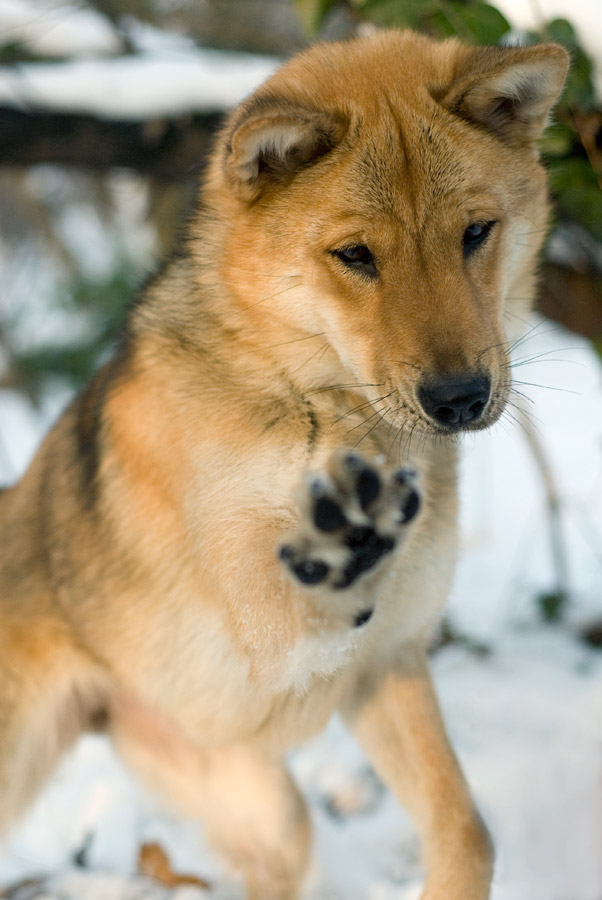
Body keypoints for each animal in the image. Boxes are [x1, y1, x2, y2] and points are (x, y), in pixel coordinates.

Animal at [0, 28, 564, 900]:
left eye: (475, 232)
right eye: (355, 255)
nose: (460, 399)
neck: (316, 405)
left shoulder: (388, 663)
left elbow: (465, 832)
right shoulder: (266, 646)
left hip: (270, 817)